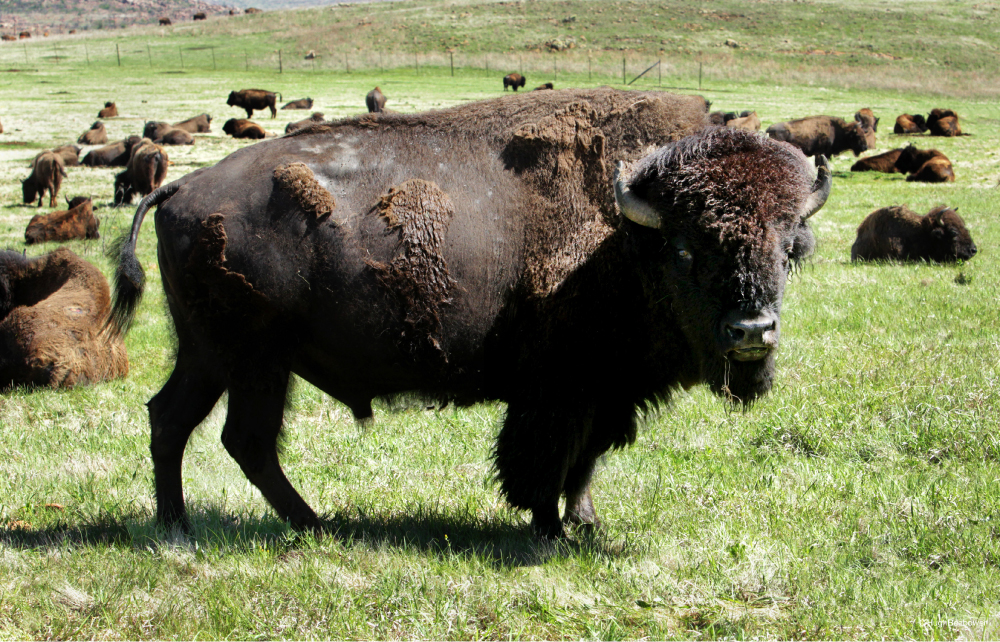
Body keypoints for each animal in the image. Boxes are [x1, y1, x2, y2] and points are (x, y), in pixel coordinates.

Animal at [111, 88, 830, 538]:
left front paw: (585, 521)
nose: (752, 332)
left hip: (212, 355)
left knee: (173, 420)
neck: (627, 231)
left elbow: (586, 461)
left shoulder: (605, 391)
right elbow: (543, 462)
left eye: (790, 246)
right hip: (253, 360)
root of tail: (180, 186)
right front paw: (547, 530)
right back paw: (308, 526)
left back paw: (181, 525)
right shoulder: (559, 392)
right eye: (686, 248)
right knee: (242, 439)